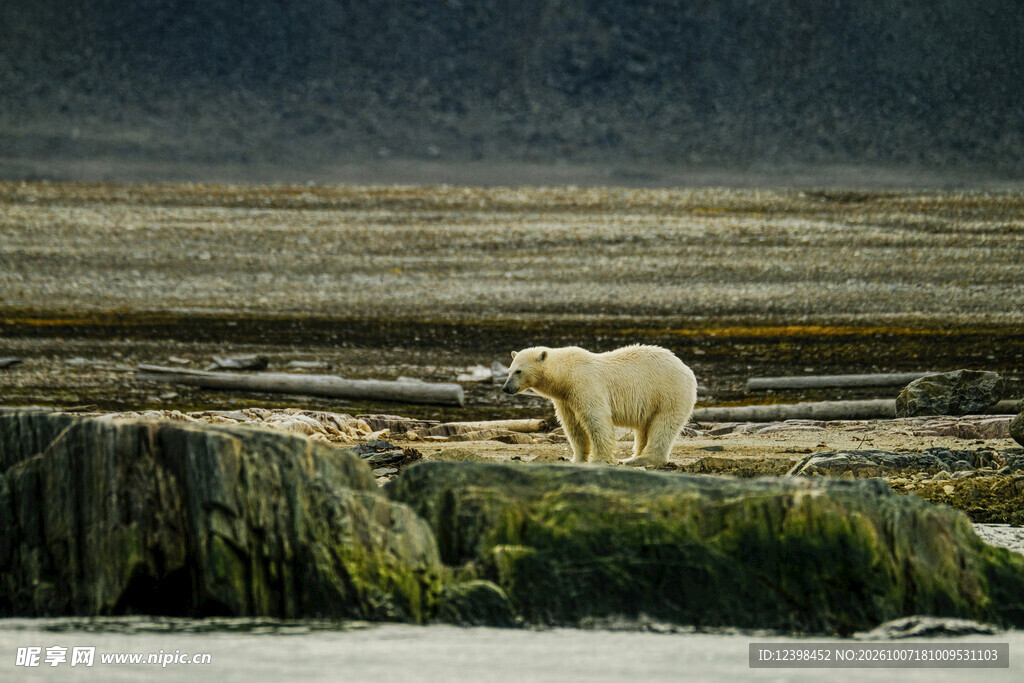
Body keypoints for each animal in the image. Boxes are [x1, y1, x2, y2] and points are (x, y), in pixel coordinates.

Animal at [501, 344, 697, 467]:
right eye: (508, 371)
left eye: (519, 371)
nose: (506, 388)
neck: (565, 374)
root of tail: (686, 369)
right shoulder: (566, 398)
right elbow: (573, 426)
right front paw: (575, 459)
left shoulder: (585, 384)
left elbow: (595, 419)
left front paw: (600, 459)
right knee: (644, 429)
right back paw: (634, 456)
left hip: (668, 393)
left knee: (663, 425)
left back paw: (641, 459)